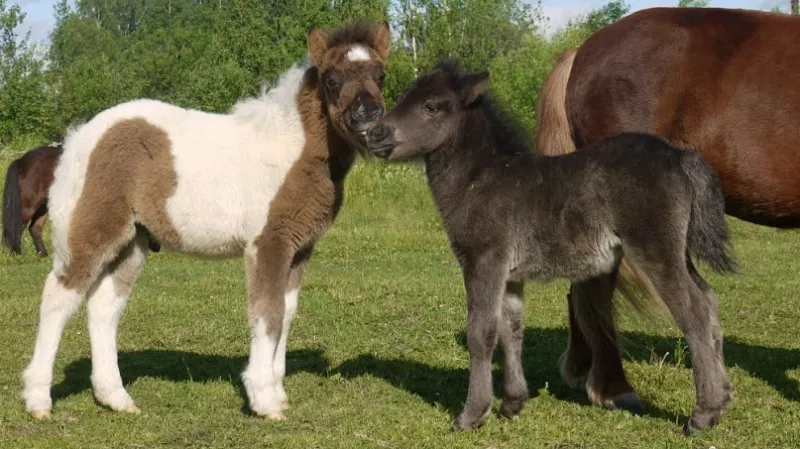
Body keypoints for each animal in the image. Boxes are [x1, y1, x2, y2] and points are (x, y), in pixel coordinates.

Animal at [21, 21, 390, 420]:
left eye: (381, 76)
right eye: (331, 79)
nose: (368, 118)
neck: (293, 150)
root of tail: (76, 139)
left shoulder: (300, 247)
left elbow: (287, 312)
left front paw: (278, 391)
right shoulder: (267, 244)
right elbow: (268, 312)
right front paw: (264, 399)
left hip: (132, 241)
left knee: (104, 307)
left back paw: (115, 397)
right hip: (93, 229)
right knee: (58, 296)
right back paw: (38, 399)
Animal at [366, 60, 736, 434]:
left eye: (431, 106)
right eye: (404, 96)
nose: (374, 133)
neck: (480, 180)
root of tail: (679, 156)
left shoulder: (483, 263)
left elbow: (481, 333)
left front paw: (471, 415)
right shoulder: (509, 275)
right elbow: (510, 331)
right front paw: (512, 403)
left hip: (656, 249)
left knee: (694, 312)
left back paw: (703, 414)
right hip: (678, 251)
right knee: (708, 299)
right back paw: (723, 398)